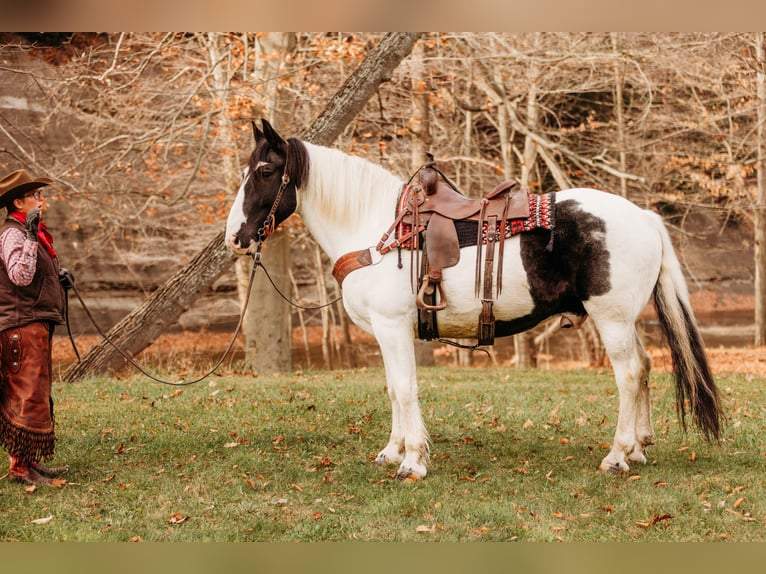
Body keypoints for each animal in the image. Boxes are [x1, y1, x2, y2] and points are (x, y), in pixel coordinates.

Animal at [225, 118, 724, 482]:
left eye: (265, 172)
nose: (235, 238)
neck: (375, 229)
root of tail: (643, 216)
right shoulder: (388, 334)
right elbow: (392, 388)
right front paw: (392, 451)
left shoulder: (392, 327)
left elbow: (405, 388)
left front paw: (413, 462)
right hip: (623, 320)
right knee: (645, 368)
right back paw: (639, 448)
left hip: (612, 319)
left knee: (629, 374)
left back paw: (617, 455)